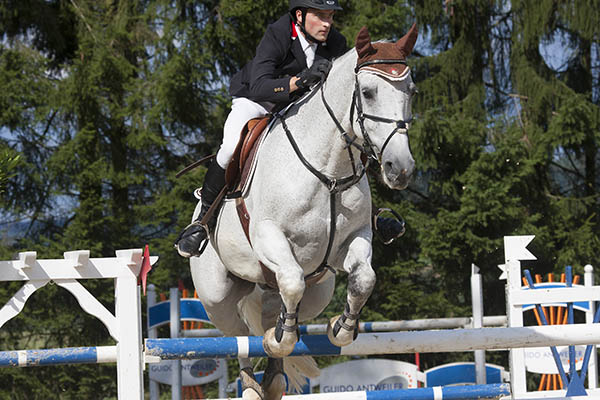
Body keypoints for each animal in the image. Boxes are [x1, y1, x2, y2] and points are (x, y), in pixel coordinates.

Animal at [191, 25, 418, 400]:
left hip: (317, 293)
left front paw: (341, 328)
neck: (329, 170)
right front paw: (281, 339)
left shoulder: (353, 239)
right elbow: (292, 281)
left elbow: (363, 279)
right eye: (368, 92)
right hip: (216, 297)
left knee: (271, 317)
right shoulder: (269, 236)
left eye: (411, 91)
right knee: (239, 336)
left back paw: (273, 376)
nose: (400, 169)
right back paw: (253, 382)